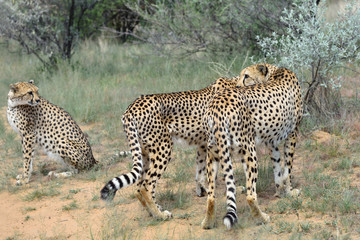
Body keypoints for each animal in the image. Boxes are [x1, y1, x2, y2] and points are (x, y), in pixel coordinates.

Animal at [100, 63, 278, 219]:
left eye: (247, 76)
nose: (241, 84)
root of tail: (132, 106)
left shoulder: (203, 144)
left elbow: (200, 171)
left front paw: (201, 190)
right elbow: (222, 171)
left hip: (144, 152)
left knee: (138, 186)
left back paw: (154, 211)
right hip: (163, 148)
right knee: (146, 186)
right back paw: (160, 215)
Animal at [201, 67, 302, 229]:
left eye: (246, 76)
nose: (237, 84)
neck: (274, 71)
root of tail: (217, 104)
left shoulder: (272, 142)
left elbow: (277, 168)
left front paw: (280, 192)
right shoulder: (292, 134)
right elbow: (287, 170)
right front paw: (289, 192)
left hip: (214, 153)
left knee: (211, 196)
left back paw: (207, 223)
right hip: (249, 150)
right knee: (250, 195)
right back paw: (262, 218)